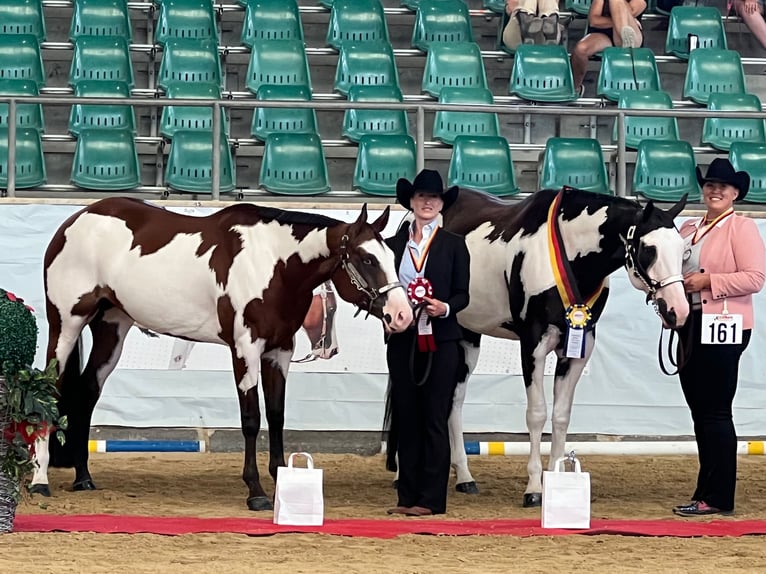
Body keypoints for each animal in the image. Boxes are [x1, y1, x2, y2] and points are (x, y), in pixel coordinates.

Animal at [31, 199, 414, 512]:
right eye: (367, 259)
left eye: (391, 257)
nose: (402, 315)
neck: (273, 264)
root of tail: (75, 221)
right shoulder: (245, 348)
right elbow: (251, 419)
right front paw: (256, 492)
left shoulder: (280, 351)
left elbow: (277, 415)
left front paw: (282, 480)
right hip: (66, 324)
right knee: (49, 390)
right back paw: (40, 482)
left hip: (112, 328)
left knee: (87, 392)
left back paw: (83, 478)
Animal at [390, 187, 688, 506]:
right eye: (648, 249)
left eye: (682, 249)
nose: (678, 311)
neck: (569, 251)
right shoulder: (533, 345)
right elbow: (537, 415)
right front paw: (534, 487)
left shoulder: (579, 349)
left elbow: (560, 416)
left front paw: (558, 478)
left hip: (468, 337)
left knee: (454, 402)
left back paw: (464, 476)